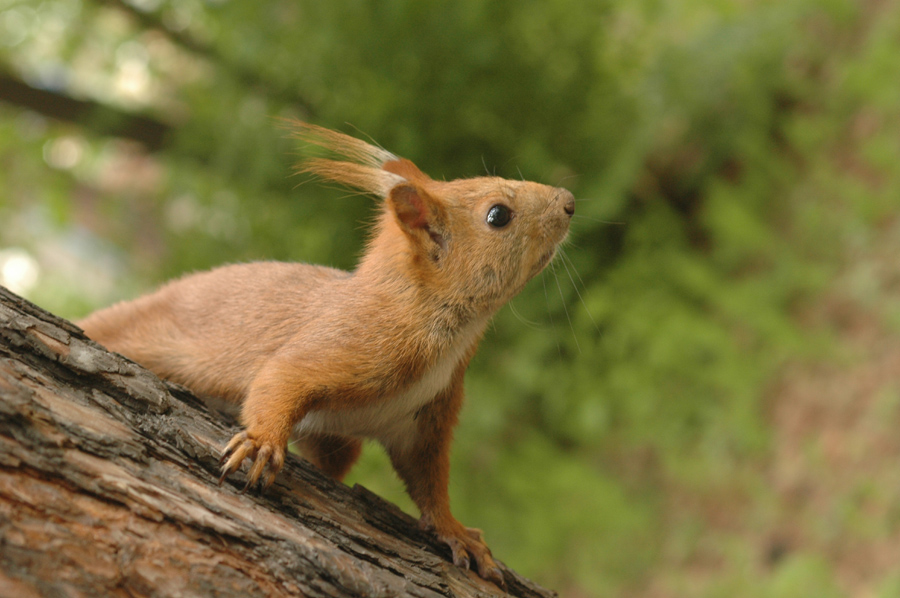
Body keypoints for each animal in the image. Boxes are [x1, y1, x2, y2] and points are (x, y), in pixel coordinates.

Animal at [77, 123, 572, 592]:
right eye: (498, 215)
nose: (568, 201)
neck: (449, 340)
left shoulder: (426, 419)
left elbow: (428, 483)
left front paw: (457, 532)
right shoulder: (354, 343)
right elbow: (280, 377)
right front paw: (261, 444)